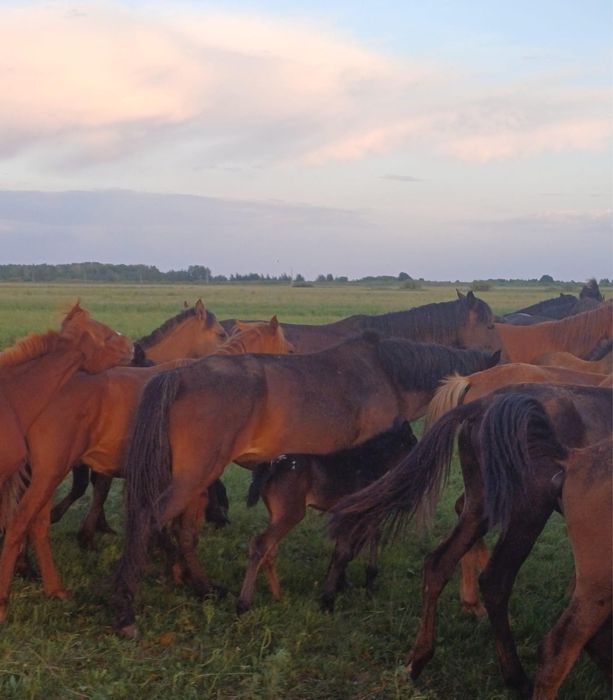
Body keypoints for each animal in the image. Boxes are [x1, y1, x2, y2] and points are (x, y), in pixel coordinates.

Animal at [0, 318, 293, 622]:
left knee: (36, 523)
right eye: (288, 350)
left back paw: (50, 584)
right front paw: (195, 581)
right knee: (22, 521)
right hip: (50, 472)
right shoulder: (191, 487)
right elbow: (185, 533)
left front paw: (170, 569)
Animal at [237, 420, 418, 614]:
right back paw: (243, 604)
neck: (368, 463)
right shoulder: (351, 514)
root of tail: (272, 464)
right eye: (413, 444)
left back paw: (279, 597)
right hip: (291, 514)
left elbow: (370, 537)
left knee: (270, 550)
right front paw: (329, 601)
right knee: (261, 545)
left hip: (277, 514)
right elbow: (343, 553)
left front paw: (367, 584)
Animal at [329, 384, 611, 696]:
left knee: (439, 563)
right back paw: (517, 677)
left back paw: (418, 660)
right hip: (529, 509)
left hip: (482, 504)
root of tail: (484, 404)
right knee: (498, 580)